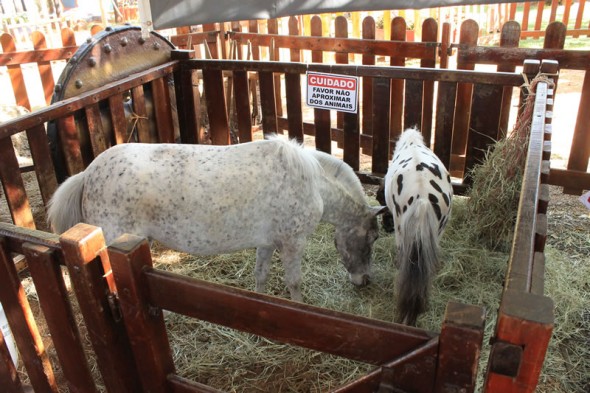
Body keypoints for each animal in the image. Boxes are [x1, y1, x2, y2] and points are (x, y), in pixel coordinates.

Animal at [48, 138, 386, 300]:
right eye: (372, 238)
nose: (365, 281)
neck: (311, 181)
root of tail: (88, 174)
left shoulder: (268, 243)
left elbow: (261, 275)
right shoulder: (293, 244)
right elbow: (294, 282)